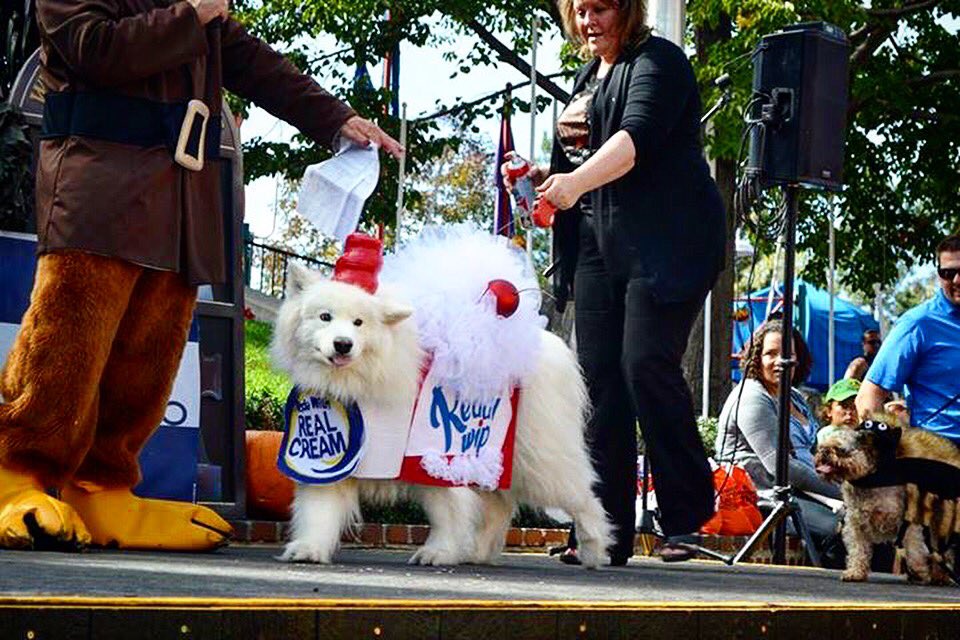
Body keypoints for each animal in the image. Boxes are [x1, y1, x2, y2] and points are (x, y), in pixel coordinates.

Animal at [274, 229, 612, 564]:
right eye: (325, 317)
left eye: (359, 322)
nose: (343, 344)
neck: (363, 378)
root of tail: (552, 347)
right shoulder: (330, 458)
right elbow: (320, 512)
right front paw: (309, 549)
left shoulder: (433, 460)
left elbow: (448, 514)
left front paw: (439, 552)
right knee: (499, 508)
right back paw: (477, 553)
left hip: (539, 463)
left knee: (585, 499)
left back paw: (594, 550)